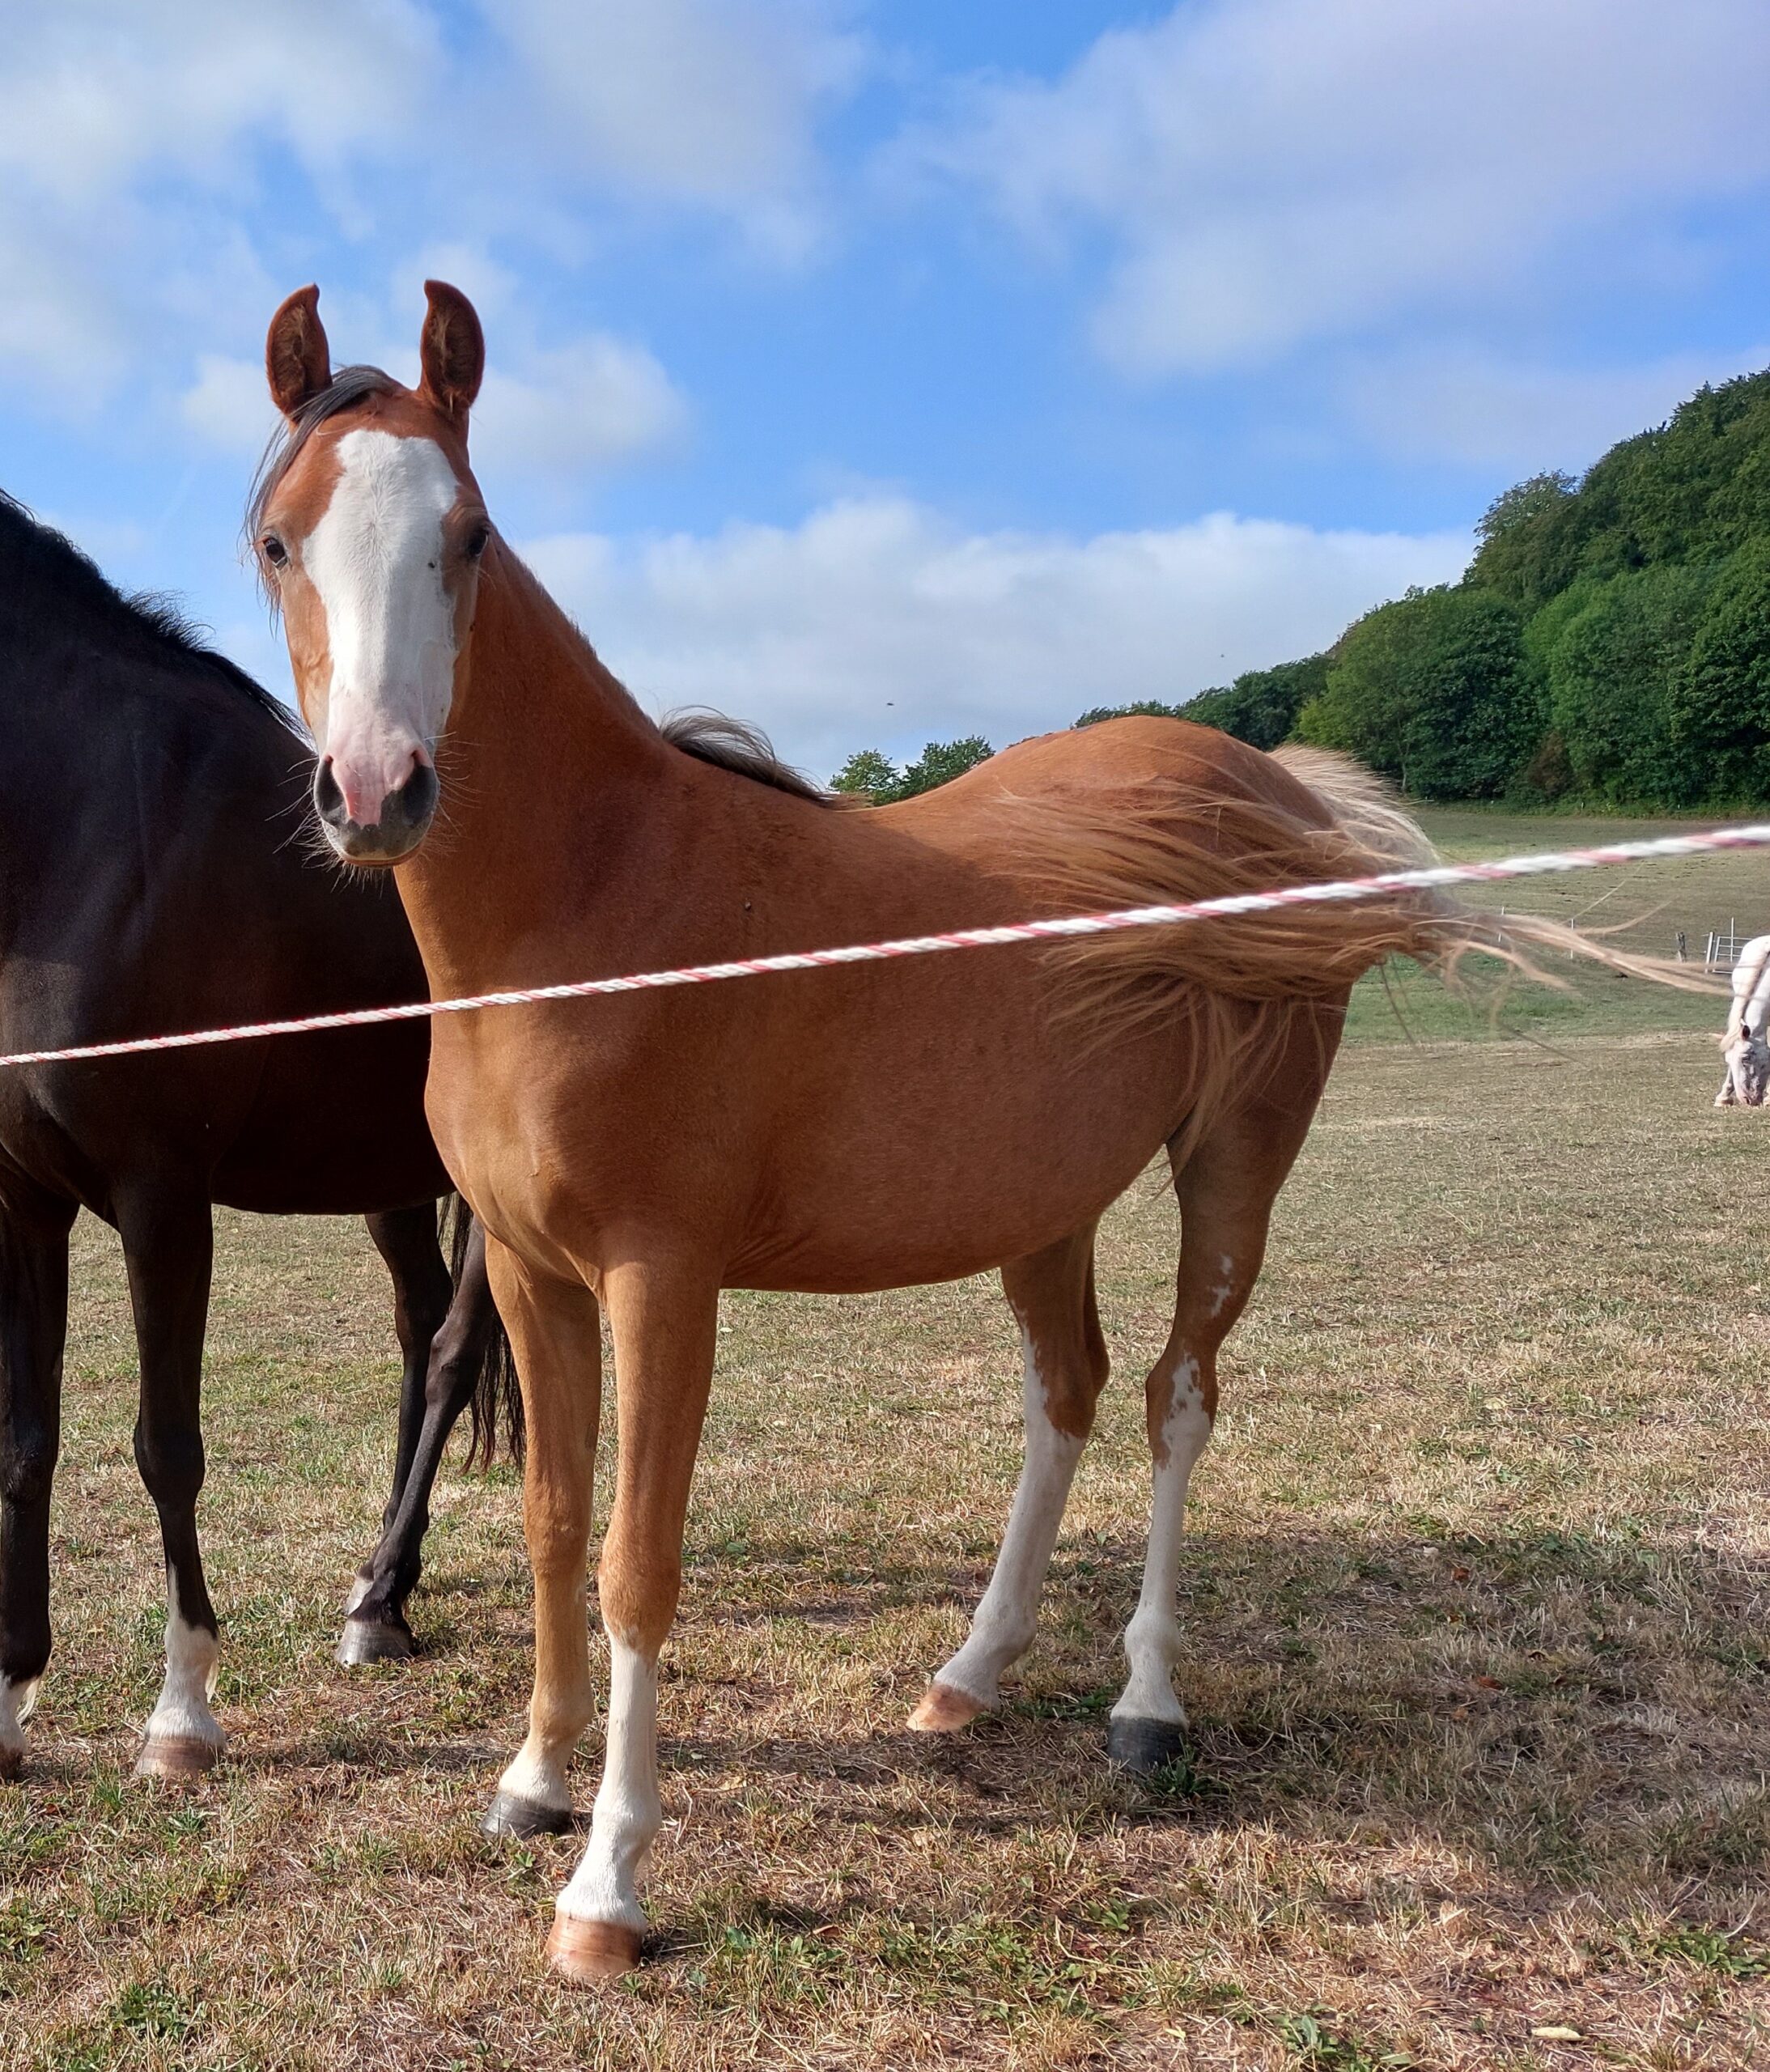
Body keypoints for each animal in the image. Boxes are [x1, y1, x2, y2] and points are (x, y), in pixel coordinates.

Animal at [0, 489, 514, 1786]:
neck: (82, 833)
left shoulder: (161, 1199)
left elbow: (164, 1446)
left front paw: (181, 1714)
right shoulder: (24, 1202)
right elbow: (27, 1442)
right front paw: (12, 1701)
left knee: (454, 1354)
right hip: (394, 1185)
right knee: (421, 1334)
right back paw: (384, 1591)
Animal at [250, 281, 1648, 1983]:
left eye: (465, 534)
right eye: (279, 540)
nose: (375, 790)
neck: (600, 914)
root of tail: (1269, 793)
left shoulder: (665, 1281)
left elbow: (637, 1562)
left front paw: (607, 1886)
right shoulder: (527, 1276)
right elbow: (549, 1525)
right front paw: (529, 1780)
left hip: (1232, 1170)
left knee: (1177, 1401)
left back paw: (1144, 1705)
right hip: (1043, 1205)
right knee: (1068, 1397)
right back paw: (968, 1676)